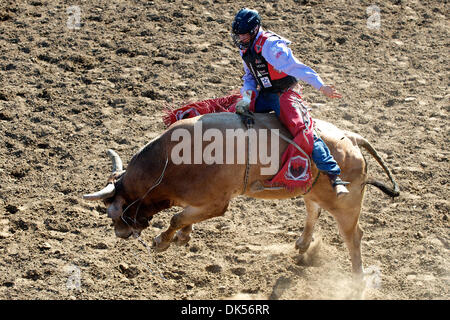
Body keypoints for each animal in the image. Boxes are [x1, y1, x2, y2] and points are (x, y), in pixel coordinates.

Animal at [82, 112, 400, 282]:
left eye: (114, 210)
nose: (120, 233)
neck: (172, 160)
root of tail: (353, 138)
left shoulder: (217, 203)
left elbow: (176, 217)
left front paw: (163, 241)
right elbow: (184, 217)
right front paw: (184, 236)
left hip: (346, 205)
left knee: (354, 236)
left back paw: (357, 278)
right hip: (311, 192)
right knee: (313, 212)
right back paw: (303, 244)